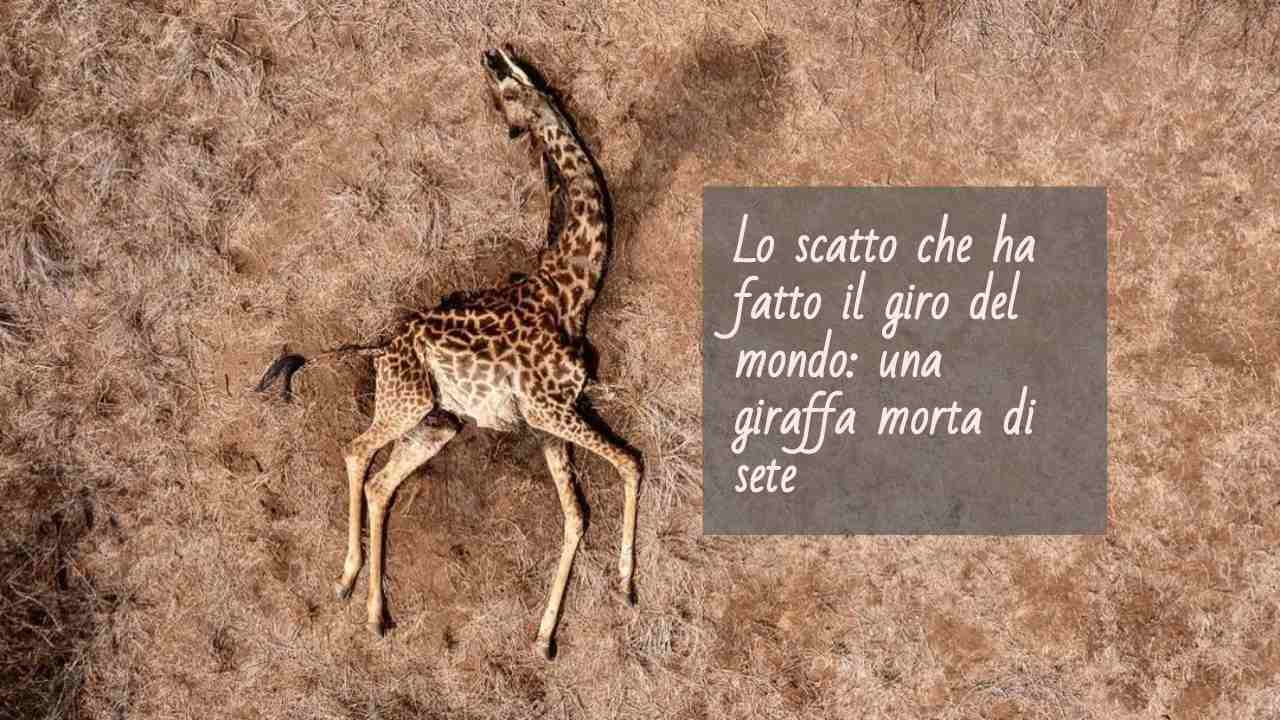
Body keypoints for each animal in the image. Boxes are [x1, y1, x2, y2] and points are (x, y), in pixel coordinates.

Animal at [256, 46, 639, 660]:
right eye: (505, 92)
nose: (493, 55)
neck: (571, 291)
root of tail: (378, 347)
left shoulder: (549, 419)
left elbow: (577, 515)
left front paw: (545, 636)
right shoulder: (551, 408)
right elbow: (629, 462)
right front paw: (626, 584)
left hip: (439, 422)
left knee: (381, 482)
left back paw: (376, 613)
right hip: (407, 402)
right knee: (355, 451)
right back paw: (348, 578)